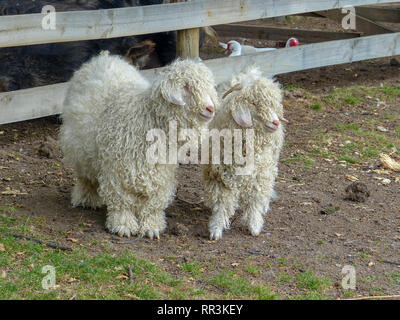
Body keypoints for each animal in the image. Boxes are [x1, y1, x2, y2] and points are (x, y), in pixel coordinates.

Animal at [58, 52, 219, 238]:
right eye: (186, 86)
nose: (210, 109)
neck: (147, 118)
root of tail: (104, 57)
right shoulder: (118, 170)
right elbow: (122, 201)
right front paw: (123, 226)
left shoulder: (160, 173)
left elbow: (152, 204)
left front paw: (151, 227)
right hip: (79, 148)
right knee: (86, 177)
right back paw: (87, 199)